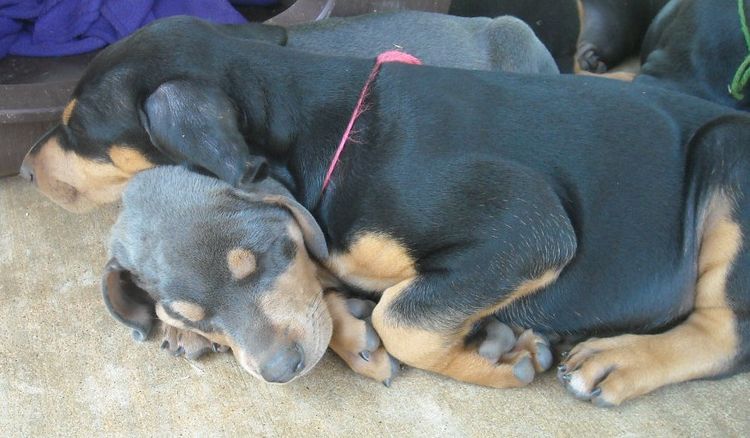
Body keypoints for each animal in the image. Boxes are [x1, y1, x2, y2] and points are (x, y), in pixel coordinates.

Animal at [17, 17, 750, 408]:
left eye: (77, 126)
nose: (22, 168)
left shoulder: (528, 226)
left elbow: (405, 320)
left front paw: (501, 361)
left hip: (726, 160)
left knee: (726, 334)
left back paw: (617, 360)